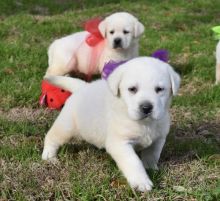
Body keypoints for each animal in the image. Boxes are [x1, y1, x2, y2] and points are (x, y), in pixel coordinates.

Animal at [41, 57, 180, 192]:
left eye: (159, 89)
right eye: (132, 89)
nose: (146, 107)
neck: (145, 124)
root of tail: (83, 87)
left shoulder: (159, 139)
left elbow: (152, 155)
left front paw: (151, 168)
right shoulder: (120, 143)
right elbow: (133, 162)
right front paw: (141, 182)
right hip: (66, 126)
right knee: (52, 137)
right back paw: (49, 156)